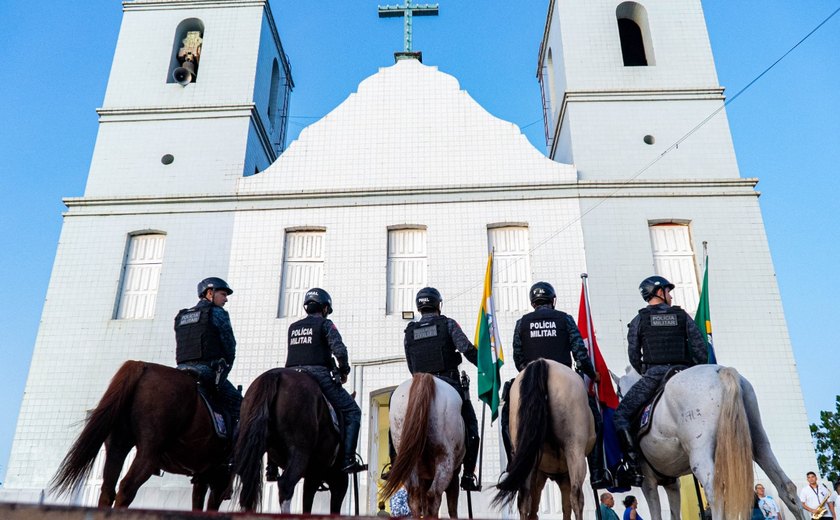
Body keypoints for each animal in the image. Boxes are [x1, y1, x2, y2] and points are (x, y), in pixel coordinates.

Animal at [50, 360, 233, 510]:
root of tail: (143, 366)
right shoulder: (218, 479)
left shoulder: (204, 475)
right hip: (149, 454)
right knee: (126, 488)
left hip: (117, 447)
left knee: (108, 491)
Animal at [380, 374, 466, 516]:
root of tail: (425, 377)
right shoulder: (454, 475)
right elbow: (452, 508)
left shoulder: (424, 477)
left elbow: (424, 504)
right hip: (445, 460)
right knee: (434, 496)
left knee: (414, 497)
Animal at [492, 358, 596, 520]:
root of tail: (542, 363)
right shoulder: (563, 476)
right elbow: (566, 506)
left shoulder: (540, 474)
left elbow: (537, 508)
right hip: (575, 451)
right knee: (576, 496)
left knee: (524, 498)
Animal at [616, 366, 808, 520]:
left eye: (617, 392)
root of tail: (720, 370)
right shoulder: (672, 483)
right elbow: (674, 513)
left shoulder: (648, 482)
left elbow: (656, 514)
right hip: (760, 444)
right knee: (786, 486)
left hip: (699, 456)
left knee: (716, 495)